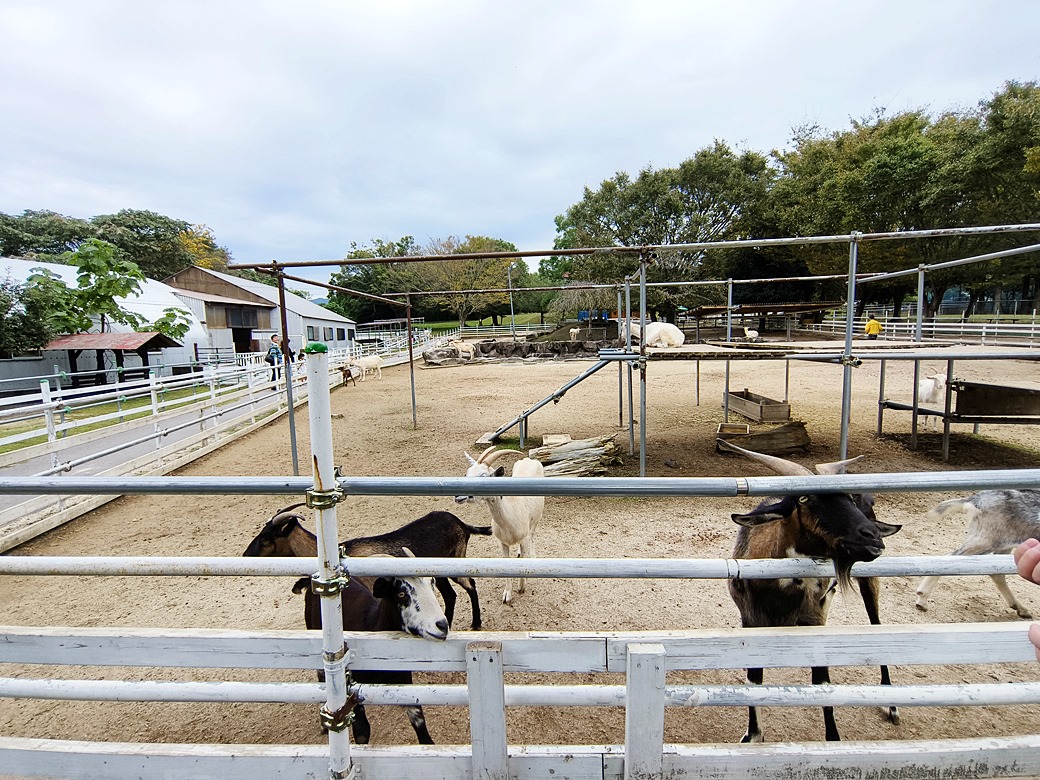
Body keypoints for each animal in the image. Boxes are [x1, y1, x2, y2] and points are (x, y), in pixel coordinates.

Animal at [243, 509, 490, 632]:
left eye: (265, 539)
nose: (246, 555)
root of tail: (462, 524)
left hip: (456, 561)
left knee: (471, 585)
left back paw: (476, 623)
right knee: (451, 595)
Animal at [453, 445, 544, 603]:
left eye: (483, 476)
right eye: (467, 473)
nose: (458, 495)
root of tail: (529, 460)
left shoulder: (524, 537)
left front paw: (522, 586)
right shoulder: (502, 542)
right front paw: (507, 595)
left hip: (537, 516)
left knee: (532, 533)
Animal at [715, 440, 902, 744]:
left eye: (849, 500)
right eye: (804, 499)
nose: (871, 536)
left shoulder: (814, 619)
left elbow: (822, 681)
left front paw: (833, 738)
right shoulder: (751, 618)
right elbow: (754, 677)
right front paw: (753, 734)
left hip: (870, 580)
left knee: (877, 624)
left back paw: (892, 705)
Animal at [919, 490, 1040, 619]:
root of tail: (975, 500)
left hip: (1002, 543)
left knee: (997, 573)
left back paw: (1021, 608)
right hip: (985, 540)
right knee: (948, 558)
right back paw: (922, 600)